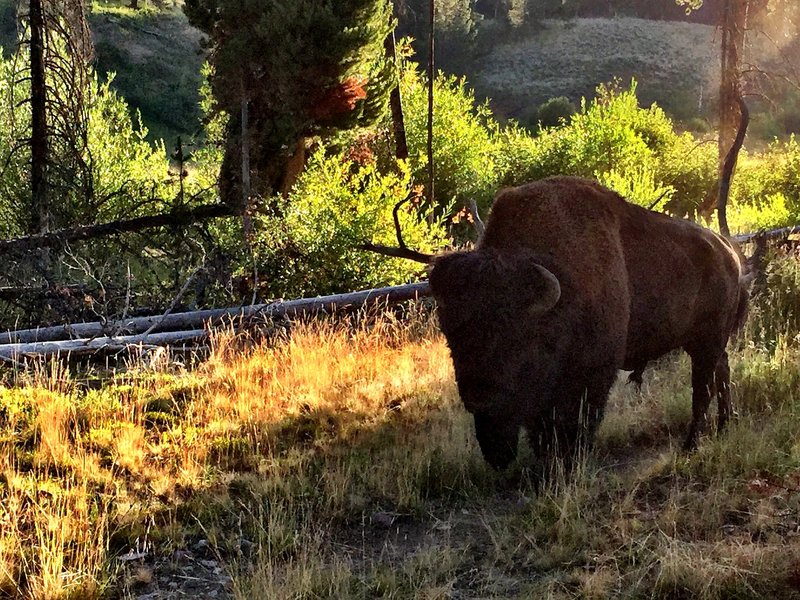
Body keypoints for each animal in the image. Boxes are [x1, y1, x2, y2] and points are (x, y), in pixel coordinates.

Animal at [424, 177, 752, 468]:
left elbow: (578, 422)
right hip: (707, 342)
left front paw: (570, 463)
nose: (478, 398)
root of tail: (729, 252)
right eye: (451, 336)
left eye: (513, 338)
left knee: (703, 389)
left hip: (706, 342)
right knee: (721, 372)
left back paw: (691, 445)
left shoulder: (592, 376)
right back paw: (724, 427)